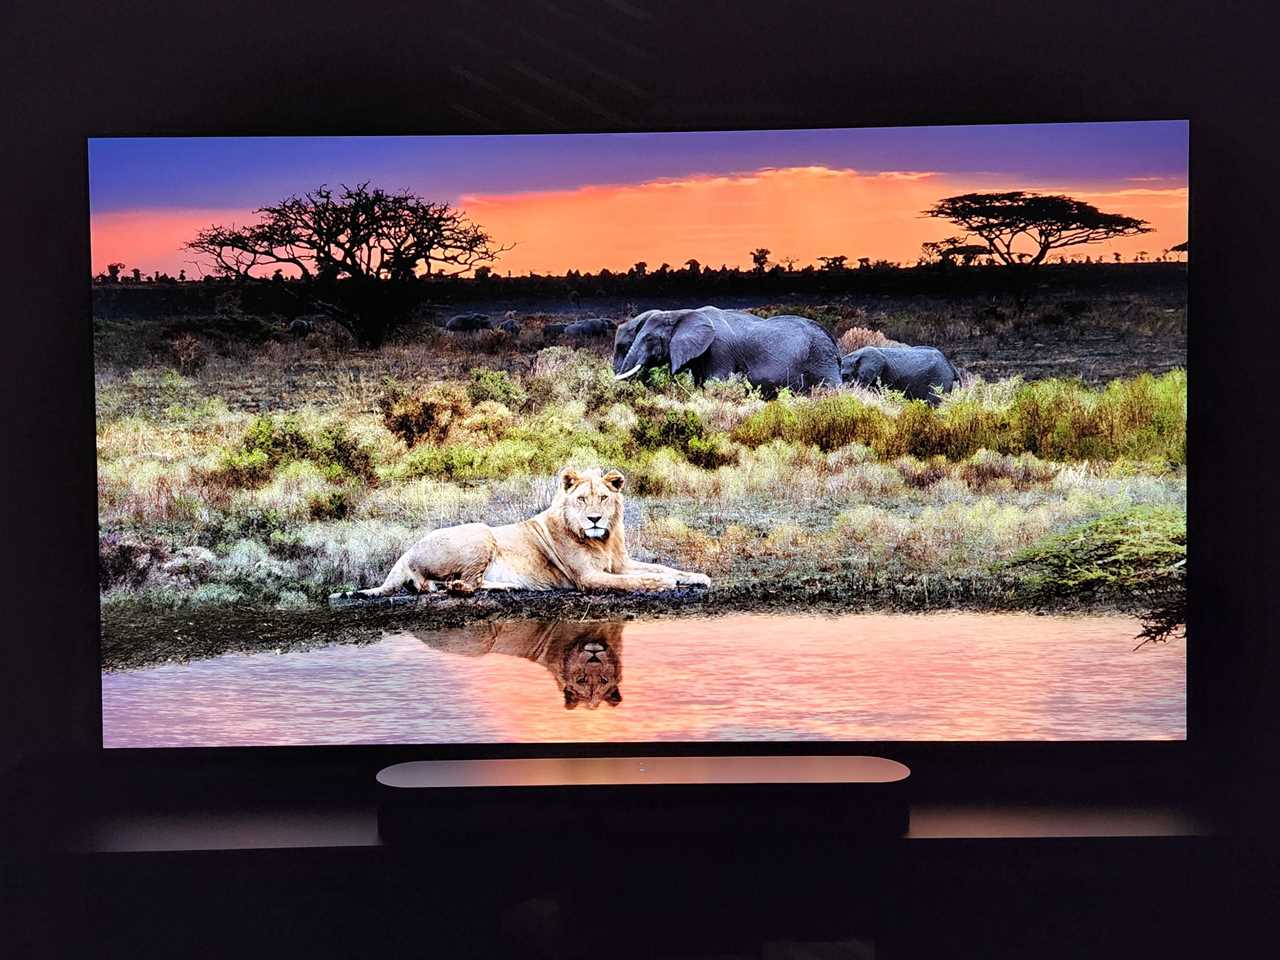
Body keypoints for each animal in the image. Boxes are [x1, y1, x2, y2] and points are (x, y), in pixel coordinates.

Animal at [340, 468, 716, 601]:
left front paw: (696, 576)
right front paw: (665, 584)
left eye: (603, 498)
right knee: (458, 585)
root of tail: (405, 552)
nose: (594, 519)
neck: (603, 540)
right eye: (582, 499)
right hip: (480, 533)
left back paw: (510, 586)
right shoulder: (588, 577)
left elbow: (662, 566)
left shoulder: (620, 563)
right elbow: (635, 581)